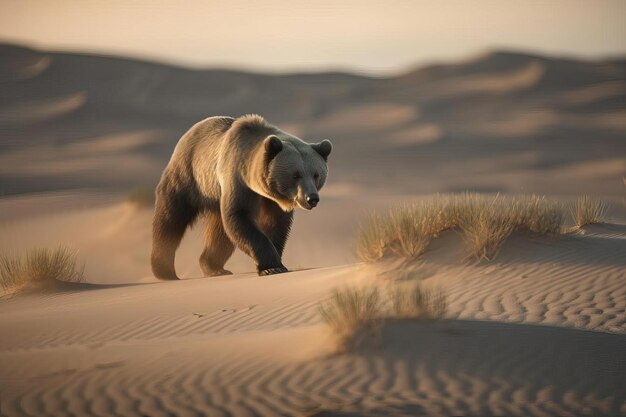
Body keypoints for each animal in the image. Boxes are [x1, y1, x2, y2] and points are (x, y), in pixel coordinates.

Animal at [151, 114, 332, 280]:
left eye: (316, 174)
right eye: (296, 175)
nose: (311, 198)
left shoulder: (272, 200)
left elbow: (276, 224)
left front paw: (276, 260)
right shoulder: (237, 179)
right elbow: (240, 216)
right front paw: (272, 267)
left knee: (220, 233)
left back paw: (213, 267)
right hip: (190, 177)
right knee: (170, 219)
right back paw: (164, 271)